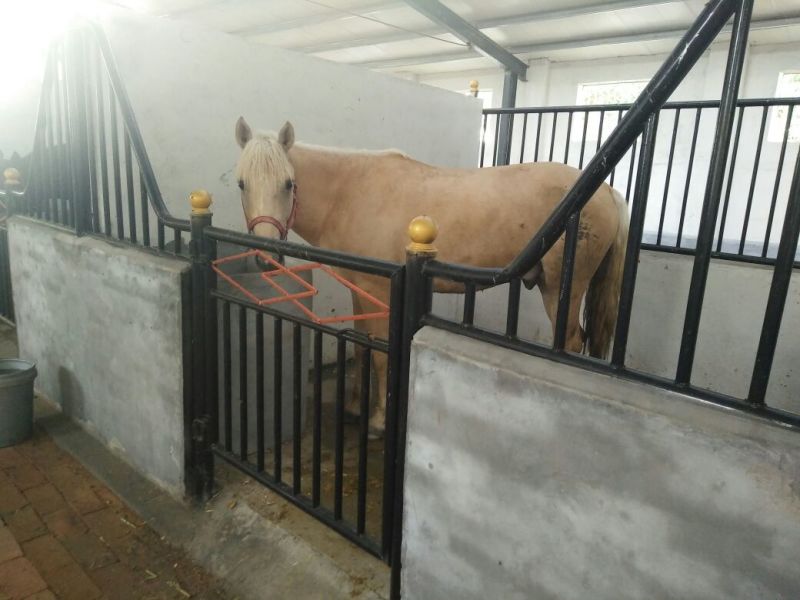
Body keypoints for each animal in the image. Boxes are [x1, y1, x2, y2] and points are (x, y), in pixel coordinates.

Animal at [234, 117, 629, 437]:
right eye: (241, 184)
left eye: (288, 184)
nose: (265, 257)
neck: (349, 195)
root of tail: (607, 190)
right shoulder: (360, 287)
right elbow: (362, 345)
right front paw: (355, 407)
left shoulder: (381, 290)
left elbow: (380, 354)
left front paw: (378, 422)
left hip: (563, 289)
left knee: (573, 340)